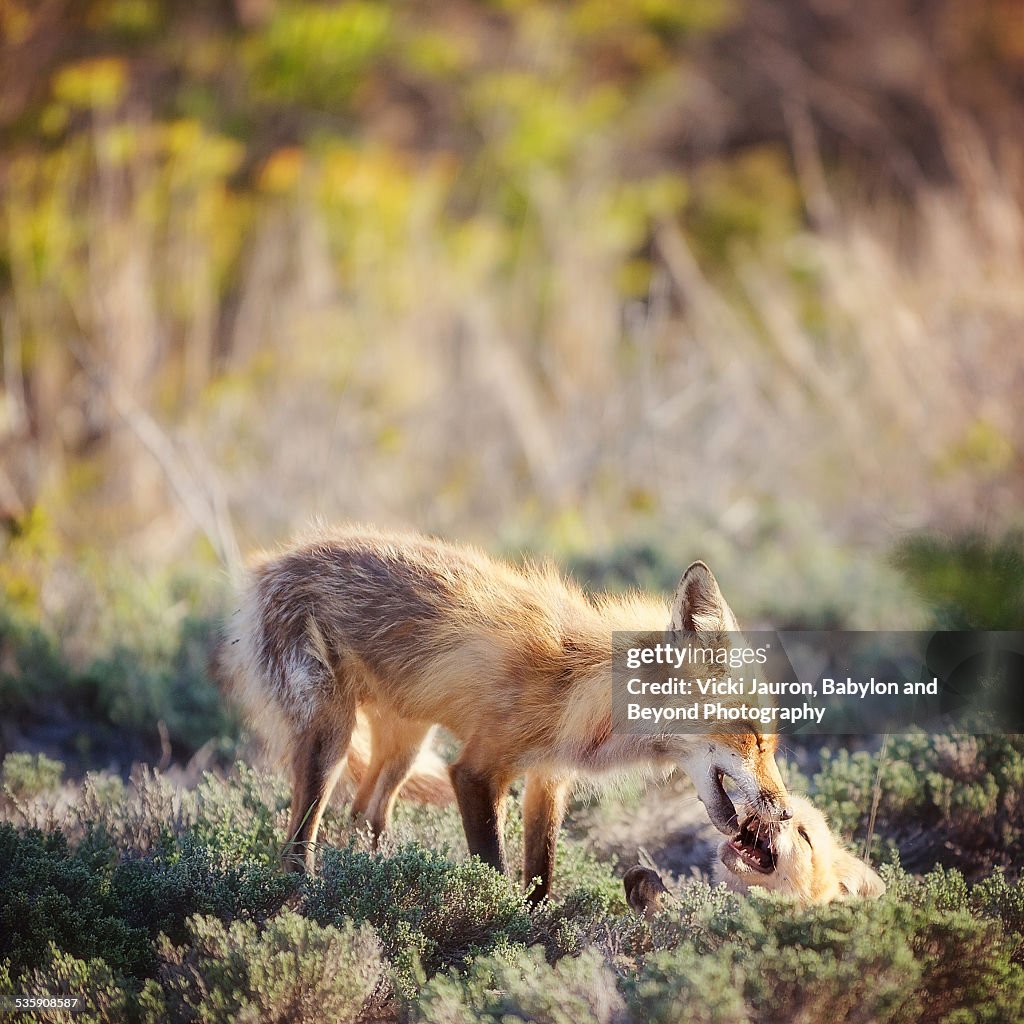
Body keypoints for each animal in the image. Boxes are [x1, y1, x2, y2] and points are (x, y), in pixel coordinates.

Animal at [218, 524, 790, 901]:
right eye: (753, 738)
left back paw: (371, 875)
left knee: (365, 814)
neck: (580, 688)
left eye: (768, 743)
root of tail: (272, 563)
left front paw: (536, 932)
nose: (785, 813)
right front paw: (496, 924)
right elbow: (492, 866)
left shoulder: (548, 777)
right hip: (331, 737)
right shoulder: (475, 771)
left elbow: (541, 872)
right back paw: (308, 897)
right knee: (299, 842)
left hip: (406, 744)